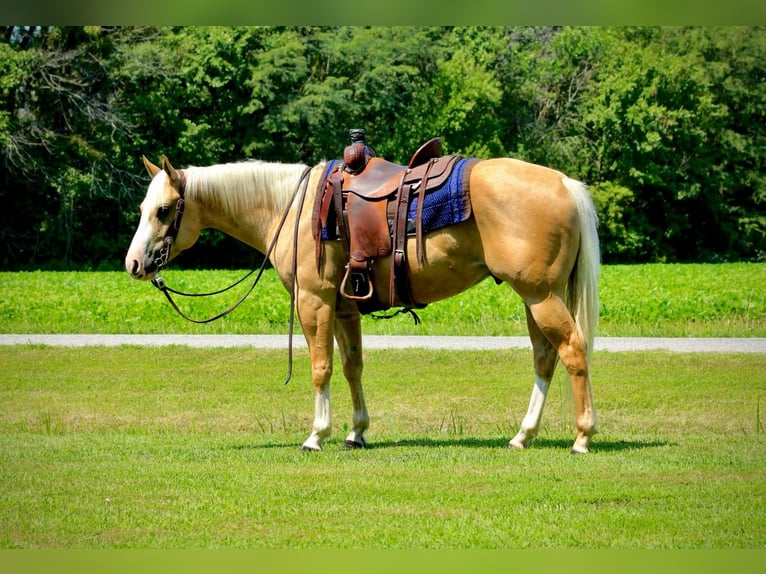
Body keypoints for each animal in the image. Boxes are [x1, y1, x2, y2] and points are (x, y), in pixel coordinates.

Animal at [124, 151, 600, 454]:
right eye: (143, 206)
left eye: (164, 210)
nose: (133, 263)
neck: (291, 208)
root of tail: (563, 182)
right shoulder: (344, 307)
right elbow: (352, 366)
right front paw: (357, 432)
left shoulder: (314, 301)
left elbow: (321, 367)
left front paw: (317, 435)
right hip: (535, 298)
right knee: (545, 358)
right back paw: (523, 435)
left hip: (541, 296)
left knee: (573, 351)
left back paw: (582, 437)